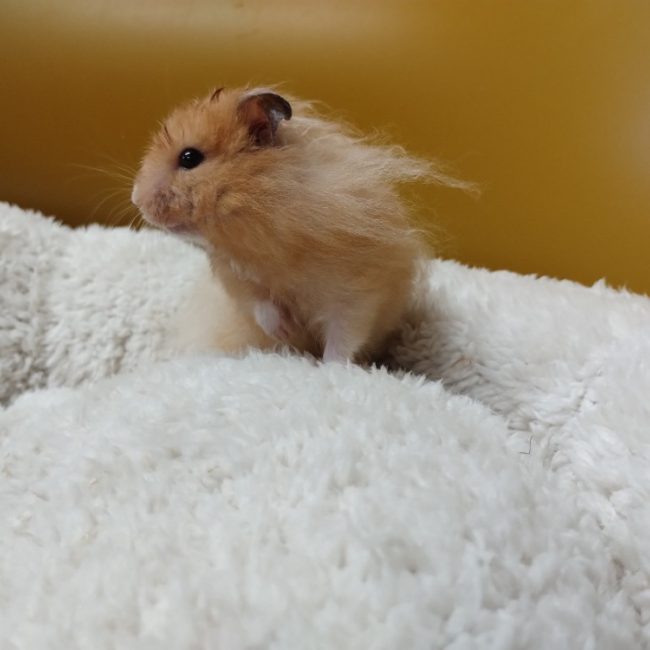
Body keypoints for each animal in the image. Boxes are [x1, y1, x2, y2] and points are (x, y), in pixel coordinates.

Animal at [132, 85, 464, 363]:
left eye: (189, 157)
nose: (136, 200)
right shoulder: (239, 282)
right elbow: (260, 305)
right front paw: (286, 330)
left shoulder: (360, 292)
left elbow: (344, 336)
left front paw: (330, 367)